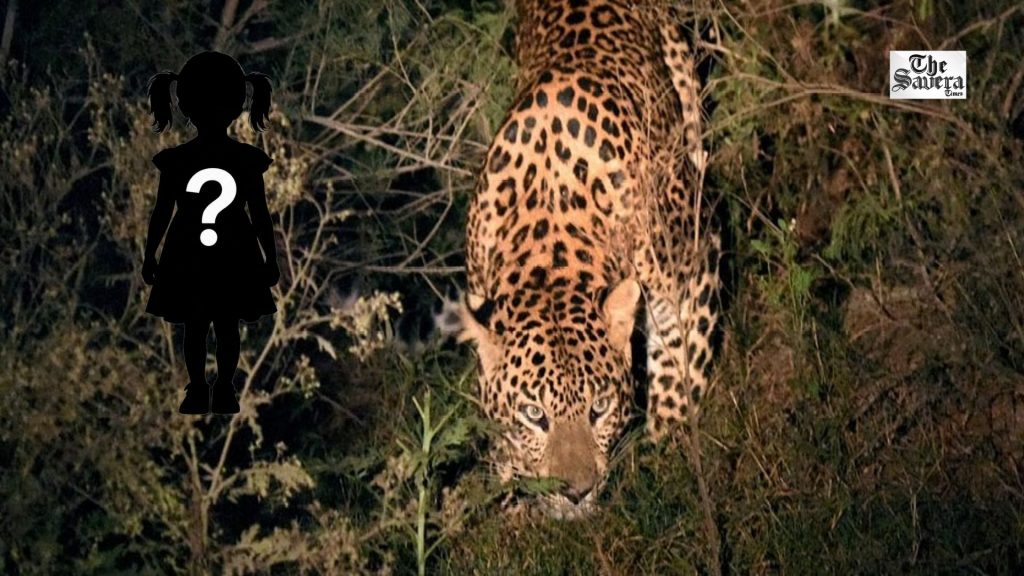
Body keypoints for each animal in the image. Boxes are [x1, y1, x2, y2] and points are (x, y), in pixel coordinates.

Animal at [458, 0, 720, 517]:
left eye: (598, 408)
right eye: (533, 414)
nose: (575, 492)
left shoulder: (696, 263)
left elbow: (679, 374)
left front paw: (668, 454)